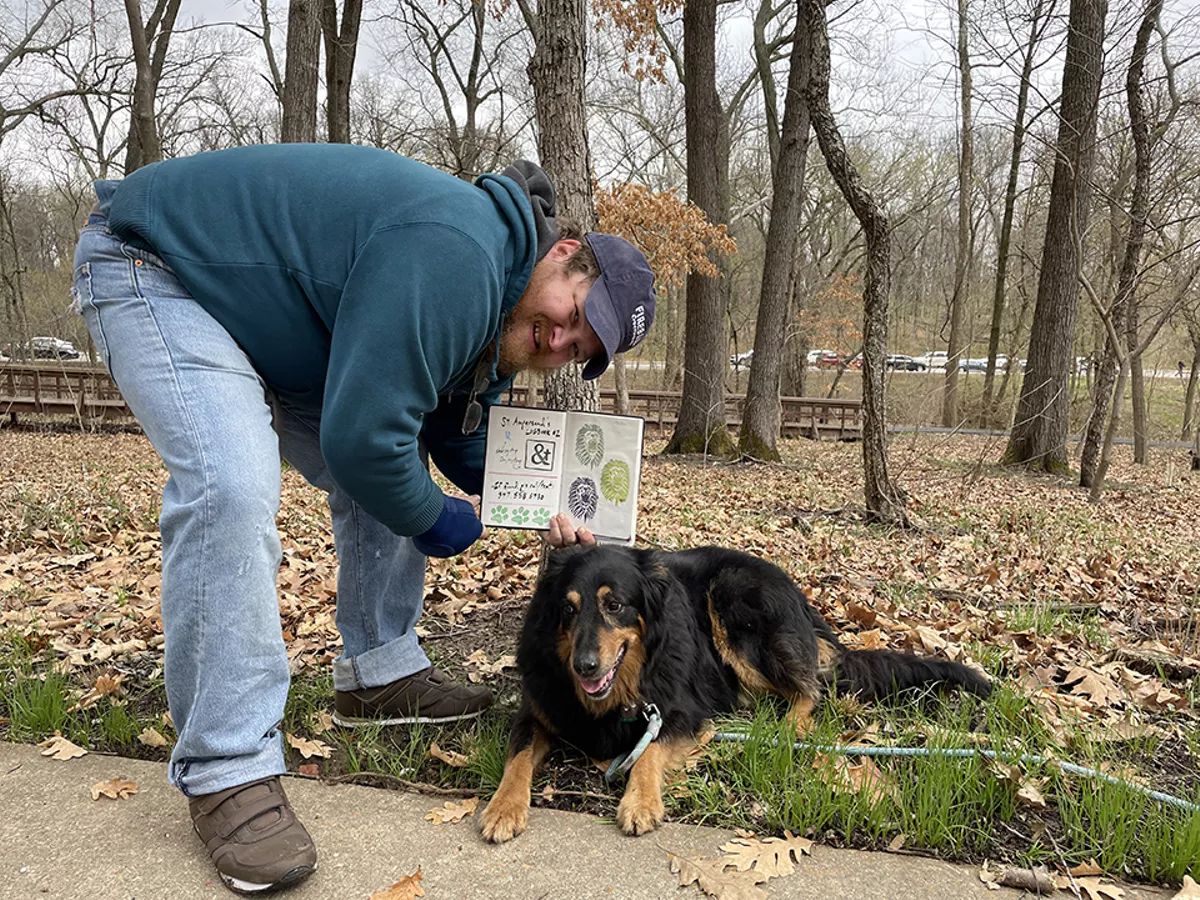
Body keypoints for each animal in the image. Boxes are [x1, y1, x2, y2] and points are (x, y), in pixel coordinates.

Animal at [477, 542, 993, 844]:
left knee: (810, 688)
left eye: (615, 605)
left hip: (733, 600)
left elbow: (648, 753)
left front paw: (640, 802)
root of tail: (801, 601)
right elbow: (518, 758)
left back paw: (787, 727)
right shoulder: (537, 711)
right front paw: (502, 807)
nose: (584, 666)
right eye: (567, 609)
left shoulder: (679, 711)